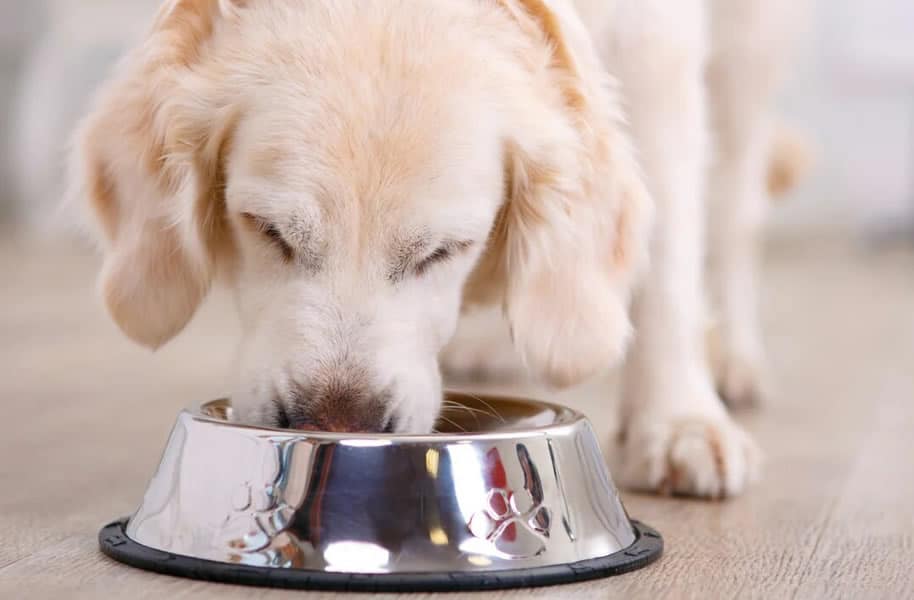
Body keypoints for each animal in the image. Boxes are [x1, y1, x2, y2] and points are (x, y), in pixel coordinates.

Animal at [64, 0, 804, 496]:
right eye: (267, 229)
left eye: (445, 251)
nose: (339, 423)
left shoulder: (657, 47)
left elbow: (670, 258)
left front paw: (678, 422)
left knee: (734, 206)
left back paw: (733, 359)